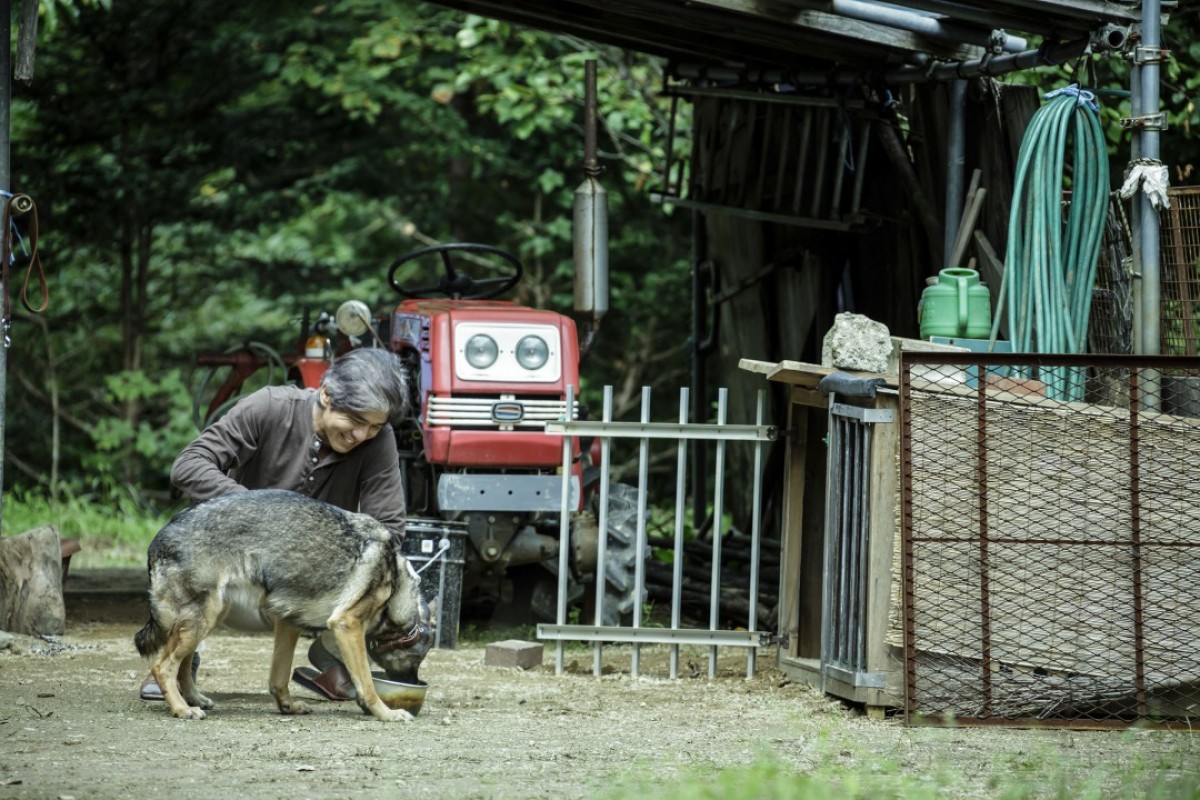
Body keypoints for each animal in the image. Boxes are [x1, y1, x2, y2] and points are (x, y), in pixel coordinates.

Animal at [135, 491, 429, 724]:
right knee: (163, 666)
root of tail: (156, 540)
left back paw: (194, 699)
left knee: (183, 664)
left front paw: (288, 707)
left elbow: (279, 677)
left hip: (209, 617)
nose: (416, 684)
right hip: (202, 619)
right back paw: (182, 709)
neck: (396, 582)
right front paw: (386, 713)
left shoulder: (288, 623)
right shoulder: (347, 624)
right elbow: (367, 683)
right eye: (417, 661)